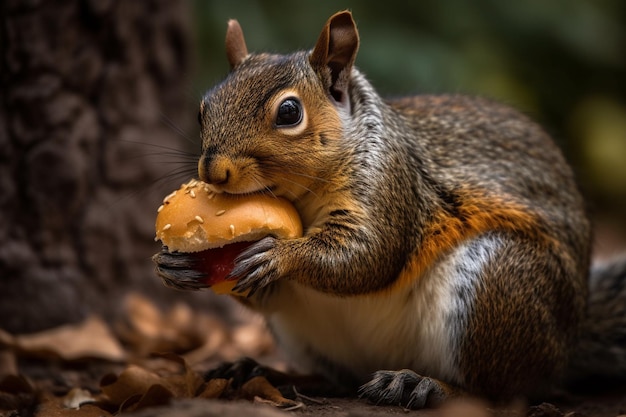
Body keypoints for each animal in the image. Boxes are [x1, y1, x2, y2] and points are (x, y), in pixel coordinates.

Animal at [151, 10, 624, 410]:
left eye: (289, 112)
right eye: (203, 109)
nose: (214, 170)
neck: (301, 198)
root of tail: (564, 348)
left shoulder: (390, 183)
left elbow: (369, 255)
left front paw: (283, 256)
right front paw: (172, 265)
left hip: (497, 283)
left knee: (502, 391)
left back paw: (425, 384)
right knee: (338, 378)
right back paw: (263, 372)